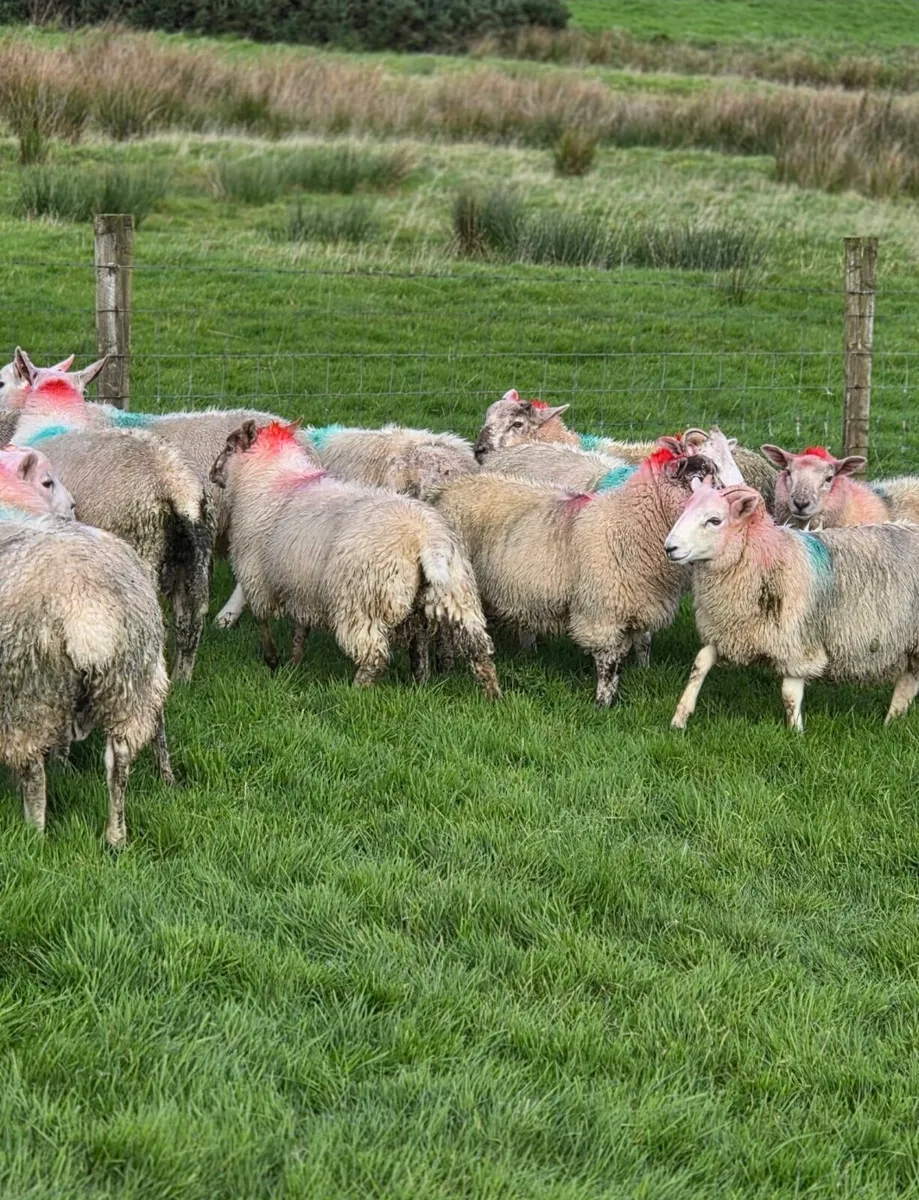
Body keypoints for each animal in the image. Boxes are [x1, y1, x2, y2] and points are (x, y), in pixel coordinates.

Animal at [0, 476, 172, 847]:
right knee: (118, 761)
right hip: (129, 678)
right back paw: (116, 836)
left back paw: (35, 832)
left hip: (27, 690)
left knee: (34, 771)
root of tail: (86, 606)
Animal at [210, 420, 500, 697]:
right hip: (458, 596)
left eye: (229, 448)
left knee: (375, 657)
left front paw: (272, 660)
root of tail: (426, 541)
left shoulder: (257, 576)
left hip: (361, 602)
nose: (212, 474)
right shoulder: (301, 584)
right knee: (472, 652)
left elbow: (263, 621)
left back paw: (356, 691)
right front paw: (293, 663)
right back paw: (481, 693)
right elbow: (300, 629)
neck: (275, 478)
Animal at [434, 444, 717, 707]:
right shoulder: (602, 613)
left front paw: (640, 674)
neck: (629, 524)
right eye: (697, 481)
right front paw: (603, 704)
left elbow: (642, 644)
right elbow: (610, 663)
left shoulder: (637, 602)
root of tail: (447, 490)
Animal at [665, 477, 919, 731]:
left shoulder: (796, 641)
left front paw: (796, 732)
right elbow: (699, 664)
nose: (669, 548)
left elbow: (789, 693)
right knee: (908, 682)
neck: (771, 555)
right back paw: (891, 722)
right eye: (684, 510)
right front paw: (679, 718)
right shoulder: (728, 630)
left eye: (715, 520)